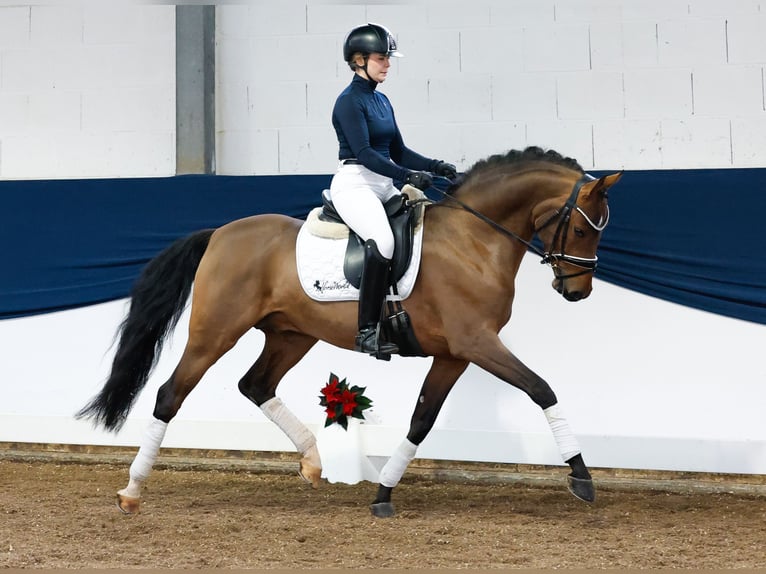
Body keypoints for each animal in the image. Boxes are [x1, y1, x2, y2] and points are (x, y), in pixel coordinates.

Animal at [78, 146, 620, 520]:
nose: (577, 291)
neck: (474, 241)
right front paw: (582, 478)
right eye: (582, 229)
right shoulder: (477, 343)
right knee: (171, 394)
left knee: (256, 384)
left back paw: (313, 462)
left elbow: (422, 420)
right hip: (215, 333)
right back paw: (131, 492)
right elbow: (541, 389)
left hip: (291, 334)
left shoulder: (455, 354)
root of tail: (219, 234)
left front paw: (383, 493)